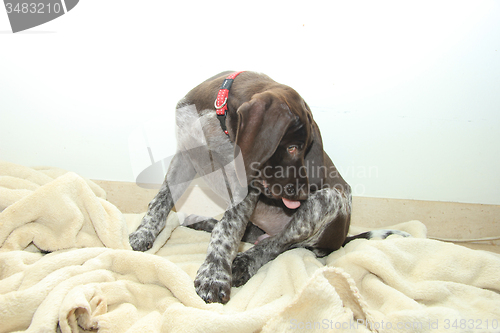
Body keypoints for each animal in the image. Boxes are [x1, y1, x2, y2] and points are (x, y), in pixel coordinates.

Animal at [128, 71, 406, 302]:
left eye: (306, 149)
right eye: (292, 147)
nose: (304, 194)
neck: (218, 121)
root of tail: (340, 239)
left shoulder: (246, 183)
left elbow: (228, 230)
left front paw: (214, 274)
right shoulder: (184, 157)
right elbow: (162, 199)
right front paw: (145, 231)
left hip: (329, 201)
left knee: (280, 245)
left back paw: (245, 261)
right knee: (249, 234)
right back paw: (203, 222)